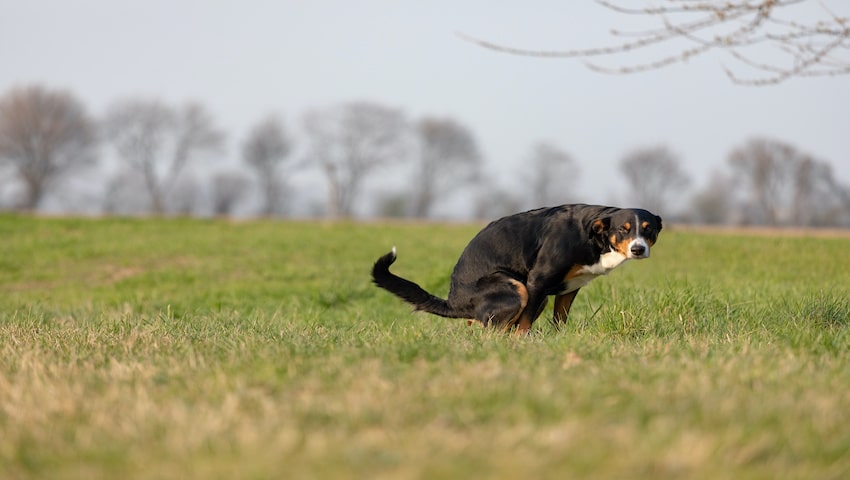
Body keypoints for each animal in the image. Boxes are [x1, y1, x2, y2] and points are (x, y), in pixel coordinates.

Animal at [372, 203, 664, 334]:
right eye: (623, 229)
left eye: (648, 229)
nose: (638, 249)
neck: (591, 236)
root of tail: (454, 301)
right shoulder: (538, 281)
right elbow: (524, 325)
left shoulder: (567, 290)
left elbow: (560, 320)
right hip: (518, 288)